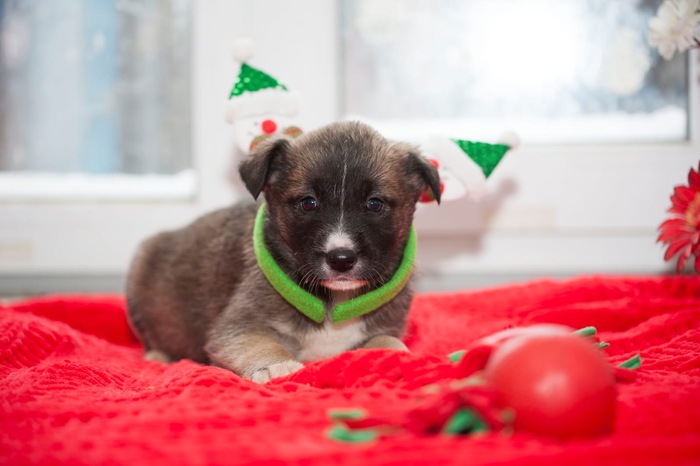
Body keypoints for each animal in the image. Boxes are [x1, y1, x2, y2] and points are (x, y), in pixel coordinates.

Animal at [125, 121, 441, 383]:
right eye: (308, 202)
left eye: (375, 204)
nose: (341, 260)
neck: (333, 298)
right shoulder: (239, 327)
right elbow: (260, 343)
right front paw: (276, 365)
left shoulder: (384, 327)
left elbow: (388, 342)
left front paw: (397, 356)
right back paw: (158, 355)